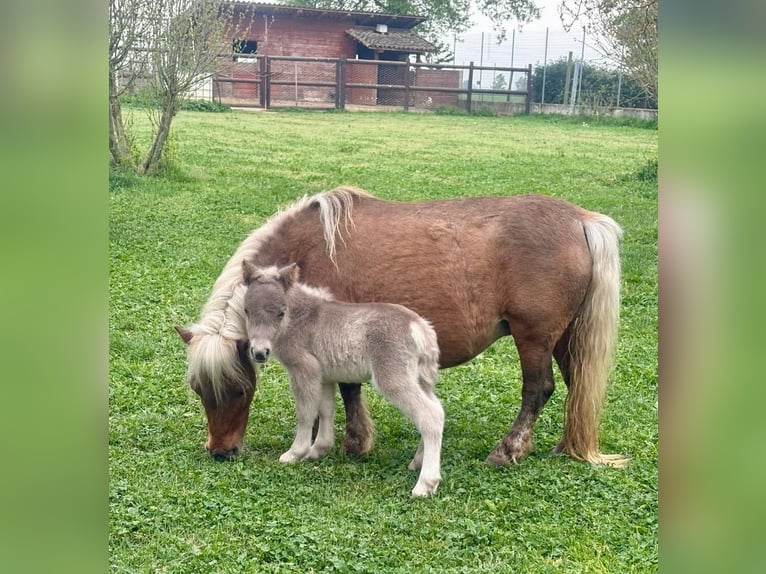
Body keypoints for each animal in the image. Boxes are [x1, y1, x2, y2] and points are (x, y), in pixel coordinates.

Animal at [176, 186, 628, 469]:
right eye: (198, 390)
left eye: (239, 390)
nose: (221, 451)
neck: (306, 252)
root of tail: (580, 220)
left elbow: (347, 390)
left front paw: (352, 442)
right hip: (564, 338)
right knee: (575, 385)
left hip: (532, 337)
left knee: (538, 390)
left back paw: (508, 449)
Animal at [241, 261, 444, 496]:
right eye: (246, 310)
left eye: (281, 313)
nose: (259, 352)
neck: (302, 319)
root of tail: (420, 328)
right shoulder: (324, 375)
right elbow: (326, 409)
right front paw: (318, 450)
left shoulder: (304, 368)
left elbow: (306, 412)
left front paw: (295, 453)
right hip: (421, 379)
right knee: (437, 410)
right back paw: (417, 462)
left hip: (393, 377)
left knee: (429, 416)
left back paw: (425, 484)